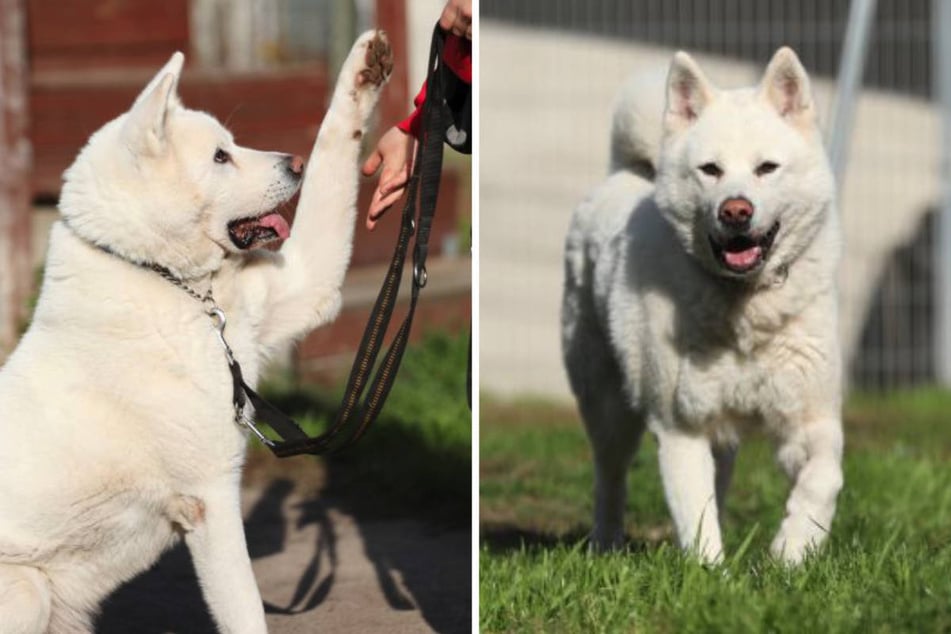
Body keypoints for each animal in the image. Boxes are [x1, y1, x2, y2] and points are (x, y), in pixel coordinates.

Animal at [0, 28, 394, 628]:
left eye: (229, 145)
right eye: (220, 156)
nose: (294, 162)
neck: (170, 283)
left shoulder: (306, 283)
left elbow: (335, 146)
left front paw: (364, 69)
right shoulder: (211, 498)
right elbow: (245, 609)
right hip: (25, 589)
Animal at [560, 49, 844, 564]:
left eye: (766, 168)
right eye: (710, 169)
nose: (736, 211)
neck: (744, 308)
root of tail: (625, 174)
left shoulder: (810, 417)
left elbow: (824, 479)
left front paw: (791, 553)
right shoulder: (680, 429)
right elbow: (696, 518)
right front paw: (712, 575)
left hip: (720, 431)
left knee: (721, 478)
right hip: (608, 407)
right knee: (610, 476)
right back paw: (605, 546)